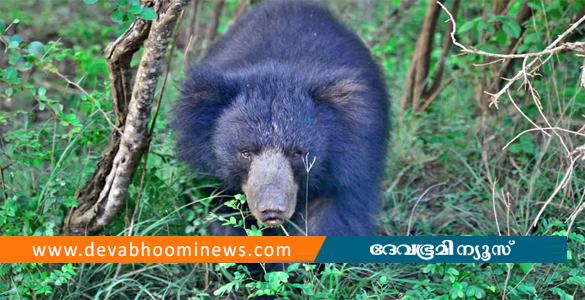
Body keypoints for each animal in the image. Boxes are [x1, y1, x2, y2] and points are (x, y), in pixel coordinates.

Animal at [172, 0, 388, 237]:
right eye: (245, 153)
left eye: (297, 154)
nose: (272, 210)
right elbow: (225, 213)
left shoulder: (349, 163)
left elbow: (333, 216)